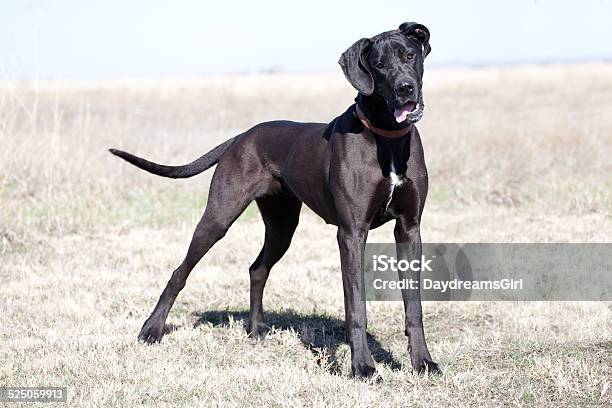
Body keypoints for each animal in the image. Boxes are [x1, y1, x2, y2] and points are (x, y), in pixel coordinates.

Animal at [110, 22, 440, 378]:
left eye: (410, 55)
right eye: (379, 65)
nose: (406, 88)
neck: (386, 137)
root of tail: (241, 136)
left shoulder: (409, 229)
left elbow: (414, 306)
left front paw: (423, 362)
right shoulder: (352, 234)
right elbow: (356, 307)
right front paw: (363, 367)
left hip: (282, 226)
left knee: (257, 269)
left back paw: (255, 329)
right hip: (218, 217)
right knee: (179, 272)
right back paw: (151, 329)